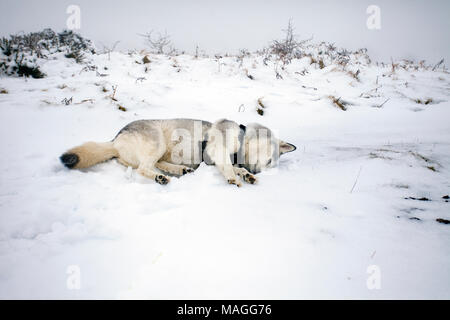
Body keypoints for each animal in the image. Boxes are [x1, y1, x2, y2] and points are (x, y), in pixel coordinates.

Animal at [61, 119, 298, 186]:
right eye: (270, 159)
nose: (256, 172)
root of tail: (114, 141)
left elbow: (235, 167)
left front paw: (245, 175)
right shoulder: (218, 150)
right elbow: (229, 167)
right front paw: (234, 177)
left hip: (159, 152)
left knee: (151, 165)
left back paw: (178, 171)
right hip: (157, 142)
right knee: (143, 169)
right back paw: (162, 177)